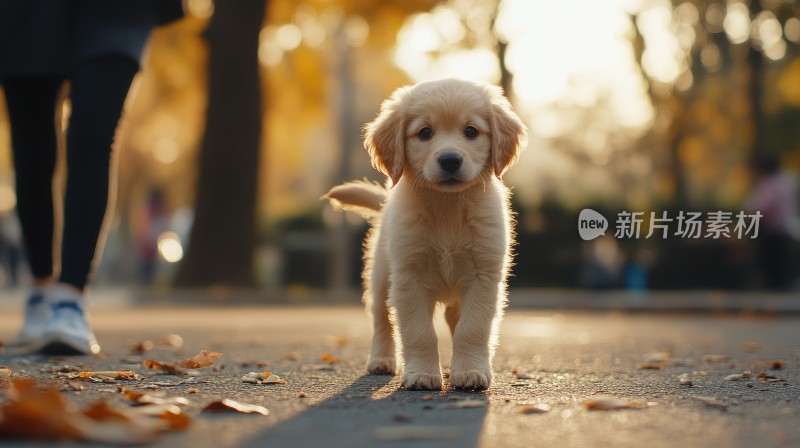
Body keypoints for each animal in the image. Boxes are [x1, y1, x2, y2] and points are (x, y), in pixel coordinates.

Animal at [322, 77, 528, 388]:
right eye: (424, 132)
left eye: (471, 131)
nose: (450, 160)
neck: (447, 206)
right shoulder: (409, 277)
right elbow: (419, 332)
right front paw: (421, 374)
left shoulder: (484, 277)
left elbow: (472, 328)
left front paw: (470, 370)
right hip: (381, 276)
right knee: (381, 320)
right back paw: (381, 360)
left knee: (455, 319)